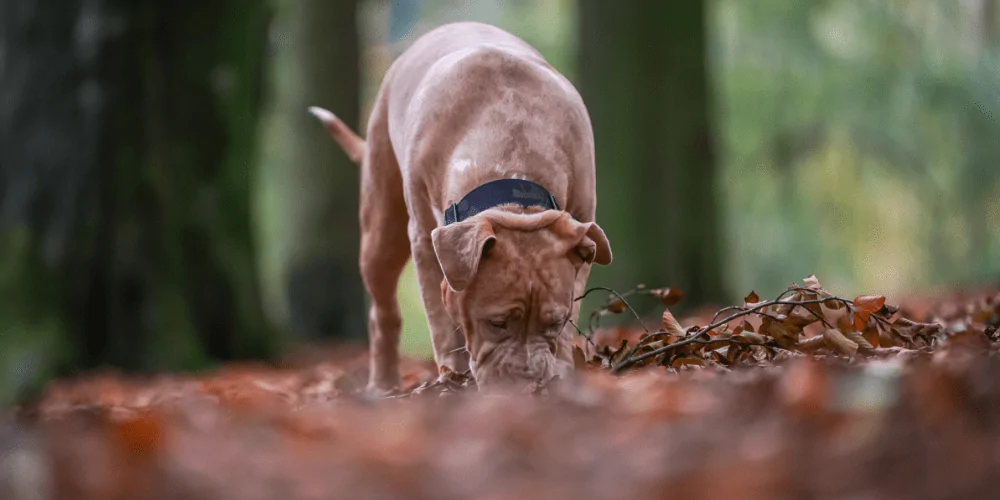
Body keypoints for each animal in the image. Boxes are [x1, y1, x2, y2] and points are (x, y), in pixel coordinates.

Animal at [310, 21, 608, 394]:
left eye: (554, 321)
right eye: (497, 323)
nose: (527, 386)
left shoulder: (581, 228)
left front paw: (564, 368)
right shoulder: (426, 242)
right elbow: (440, 320)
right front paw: (451, 376)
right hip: (381, 229)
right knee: (383, 311)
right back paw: (383, 385)